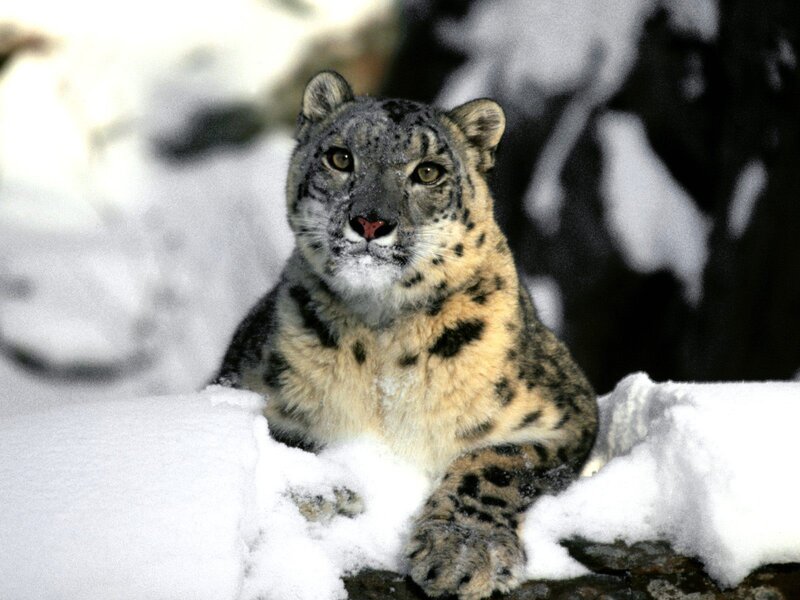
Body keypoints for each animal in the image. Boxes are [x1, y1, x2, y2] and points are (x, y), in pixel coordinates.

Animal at [214, 70, 598, 600]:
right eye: (341, 158)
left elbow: (499, 459)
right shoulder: (240, 384)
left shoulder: (564, 410)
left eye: (429, 171)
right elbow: (281, 436)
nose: (370, 221)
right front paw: (326, 490)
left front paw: (463, 550)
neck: (381, 342)